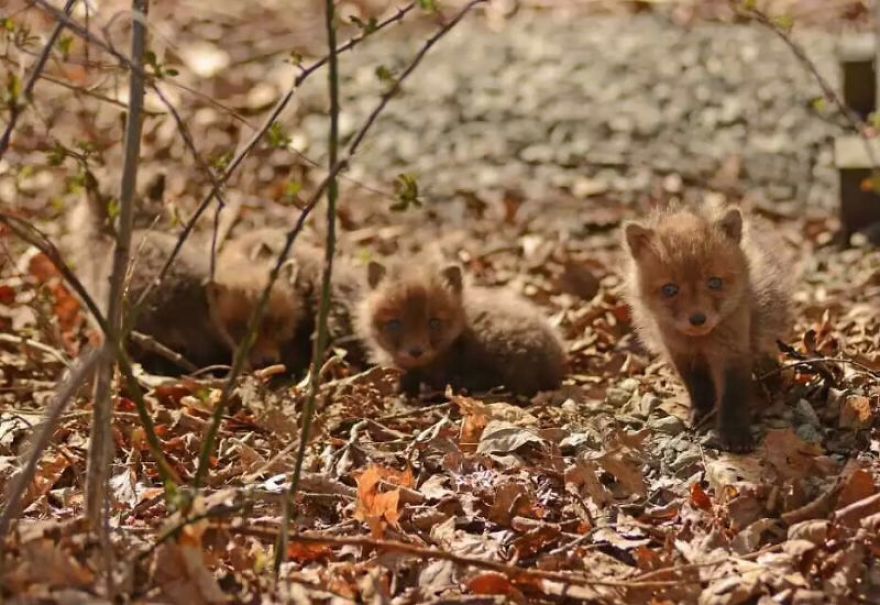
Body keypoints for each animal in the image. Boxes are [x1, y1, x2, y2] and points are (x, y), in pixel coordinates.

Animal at [622, 205, 791, 452]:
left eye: (714, 282)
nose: (698, 319)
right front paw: (701, 414)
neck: (700, 341)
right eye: (670, 289)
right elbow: (698, 387)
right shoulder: (682, 354)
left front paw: (735, 433)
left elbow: (733, 395)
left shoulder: (732, 352)